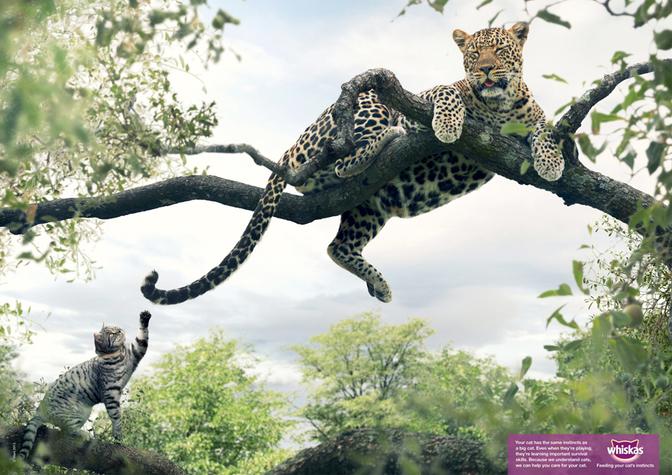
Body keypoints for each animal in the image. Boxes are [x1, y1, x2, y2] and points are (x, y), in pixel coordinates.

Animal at [141, 21, 564, 305]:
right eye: (473, 55)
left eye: (500, 51)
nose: (486, 70)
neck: (497, 106)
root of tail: (286, 153)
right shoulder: (423, 104)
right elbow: (447, 94)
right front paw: (447, 125)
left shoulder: (532, 119)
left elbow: (548, 129)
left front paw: (551, 163)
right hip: (367, 105)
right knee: (346, 156)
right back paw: (381, 142)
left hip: (370, 206)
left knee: (338, 246)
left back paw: (380, 284)